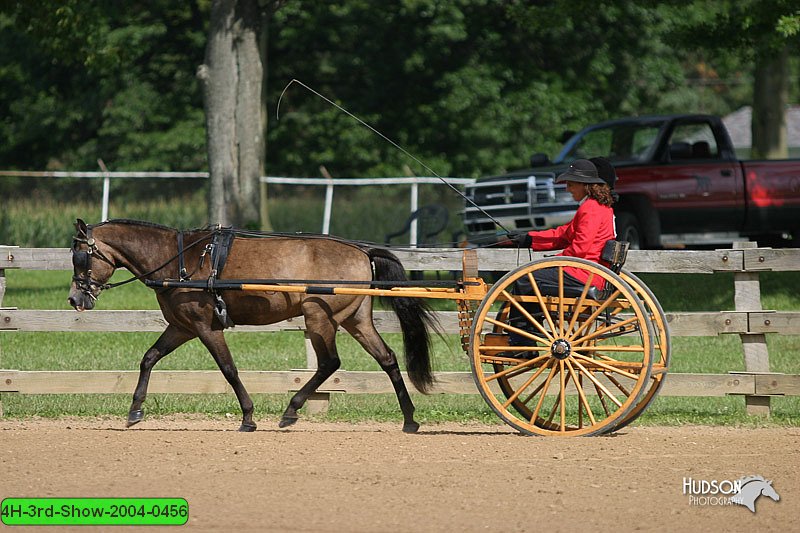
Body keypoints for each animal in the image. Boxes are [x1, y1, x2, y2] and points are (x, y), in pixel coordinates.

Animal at [68, 218, 438, 430]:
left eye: (81, 255)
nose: (75, 298)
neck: (179, 260)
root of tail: (362, 252)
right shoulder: (182, 327)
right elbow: (149, 358)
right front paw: (135, 410)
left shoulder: (206, 327)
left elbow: (228, 369)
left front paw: (248, 416)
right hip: (355, 319)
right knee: (387, 358)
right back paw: (409, 418)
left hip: (318, 316)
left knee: (330, 362)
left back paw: (291, 411)